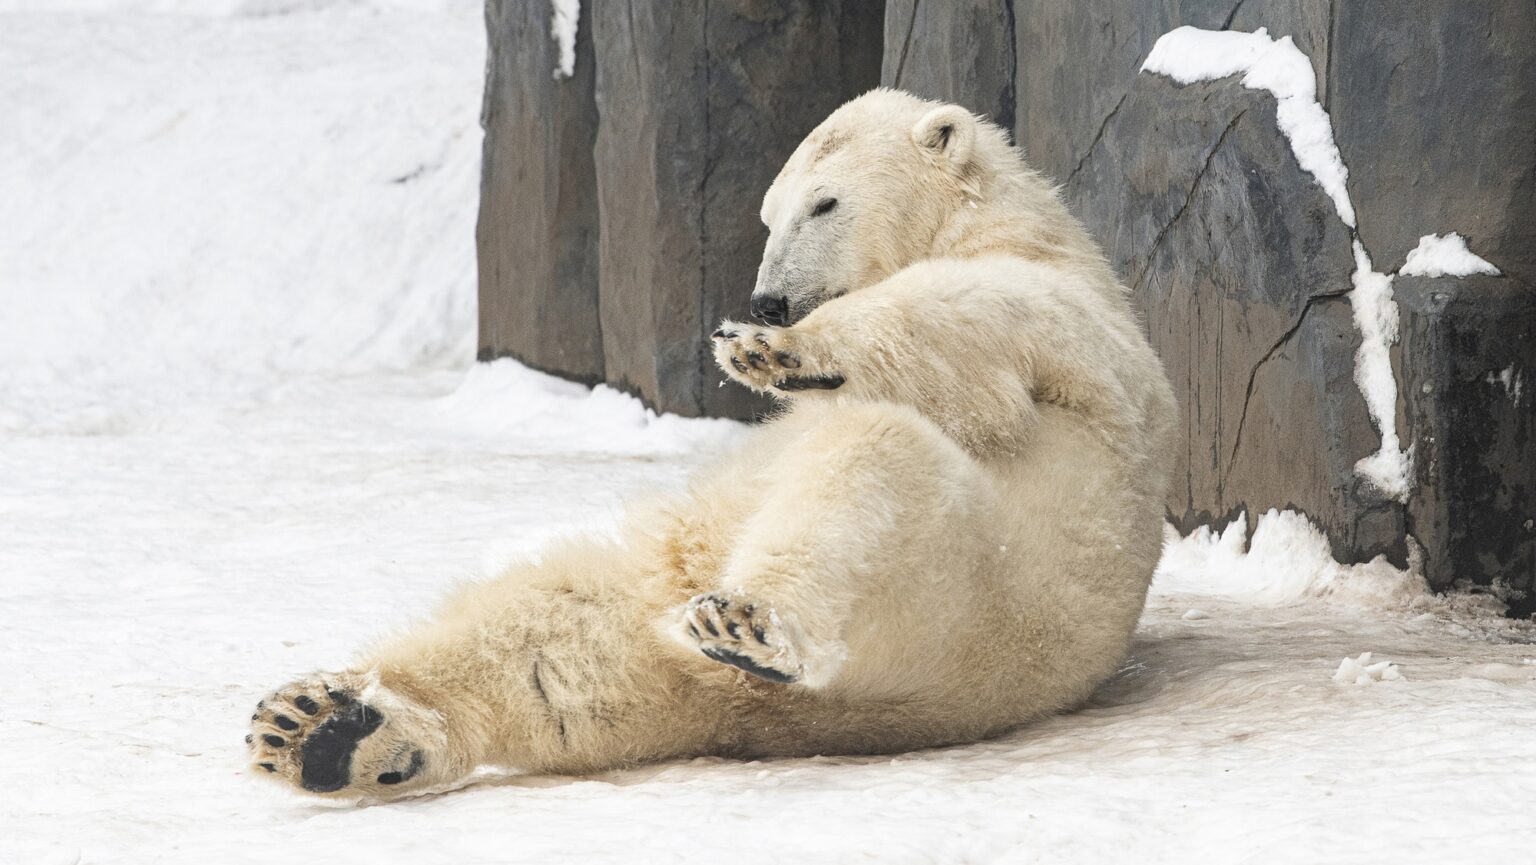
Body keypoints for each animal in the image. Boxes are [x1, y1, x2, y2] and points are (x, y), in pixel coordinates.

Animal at [247, 88, 1177, 799]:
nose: (769, 300)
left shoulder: (1066, 318)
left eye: (826, 202)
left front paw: (774, 352)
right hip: (682, 580)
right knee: (552, 635)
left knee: (872, 469)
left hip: (961, 597)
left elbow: (958, 322)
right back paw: (321, 727)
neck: (1000, 221)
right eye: (770, 214)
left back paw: (747, 622)